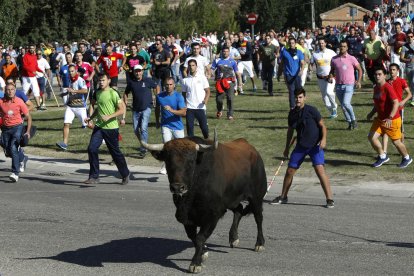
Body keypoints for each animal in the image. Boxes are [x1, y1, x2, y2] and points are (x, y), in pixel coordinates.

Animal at [141, 135, 266, 272]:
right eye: (168, 160)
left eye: (191, 160)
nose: (178, 188)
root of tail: (251, 148)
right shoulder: (186, 217)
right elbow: (193, 237)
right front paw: (204, 253)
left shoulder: (212, 216)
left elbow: (200, 237)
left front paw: (196, 263)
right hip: (232, 199)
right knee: (238, 210)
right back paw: (234, 239)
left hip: (257, 197)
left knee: (258, 218)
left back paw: (259, 244)